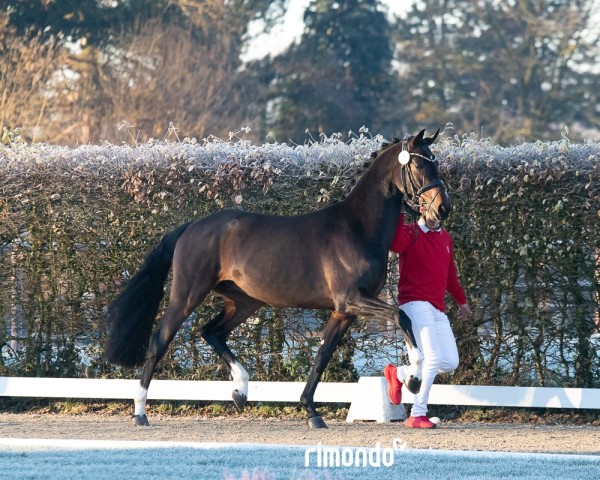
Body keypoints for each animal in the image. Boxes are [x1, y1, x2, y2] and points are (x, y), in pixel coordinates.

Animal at [104, 127, 450, 428]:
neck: (358, 227)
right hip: (187, 294)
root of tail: (191, 227)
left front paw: (312, 412)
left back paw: (240, 390)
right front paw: (413, 378)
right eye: (419, 164)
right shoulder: (352, 299)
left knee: (212, 332)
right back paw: (140, 411)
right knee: (160, 340)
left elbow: (322, 355)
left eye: (435, 162)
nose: (441, 210)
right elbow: (401, 316)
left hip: (245, 301)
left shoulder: (344, 311)